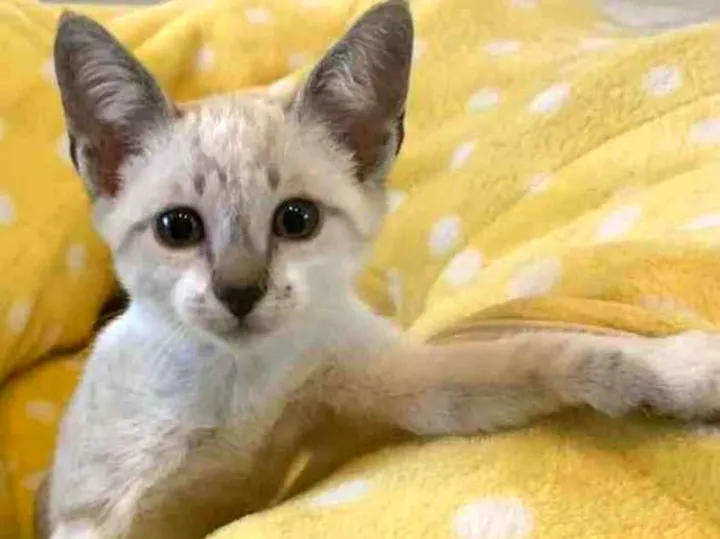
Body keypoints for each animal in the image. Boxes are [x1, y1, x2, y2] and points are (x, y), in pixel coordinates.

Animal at [39, 2, 720, 538]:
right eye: (177, 229)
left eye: (297, 220)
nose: (240, 292)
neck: (242, 382)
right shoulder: (97, 516)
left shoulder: (398, 383)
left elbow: (552, 352)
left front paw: (684, 372)